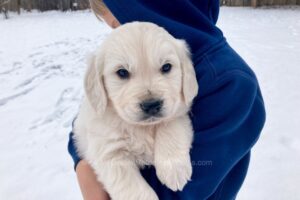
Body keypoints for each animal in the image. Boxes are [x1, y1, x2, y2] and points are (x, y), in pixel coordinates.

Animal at [73, 21, 198, 200]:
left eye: (166, 67)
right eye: (122, 72)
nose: (151, 105)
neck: (141, 128)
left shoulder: (178, 112)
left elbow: (170, 126)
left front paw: (174, 169)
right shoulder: (109, 153)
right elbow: (133, 188)